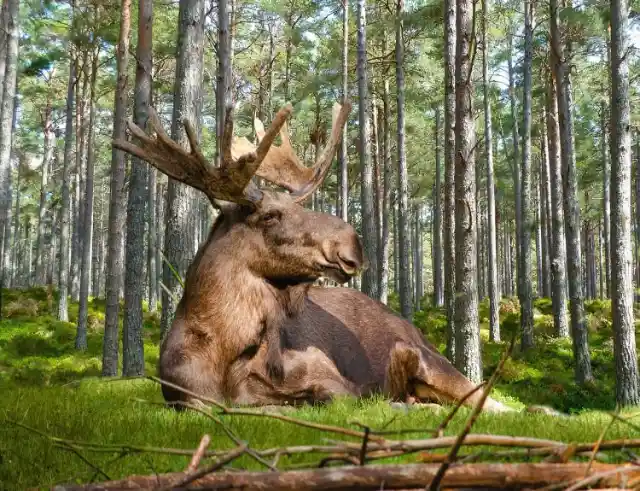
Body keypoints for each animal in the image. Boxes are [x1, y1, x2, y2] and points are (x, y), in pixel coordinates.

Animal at [115, 101, 512, 416]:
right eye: (270, 215)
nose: (353, 244)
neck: (223, 352)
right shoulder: (184, 396)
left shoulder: (332, 378)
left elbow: (315, 400)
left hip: (431, 360)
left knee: (487, 400)